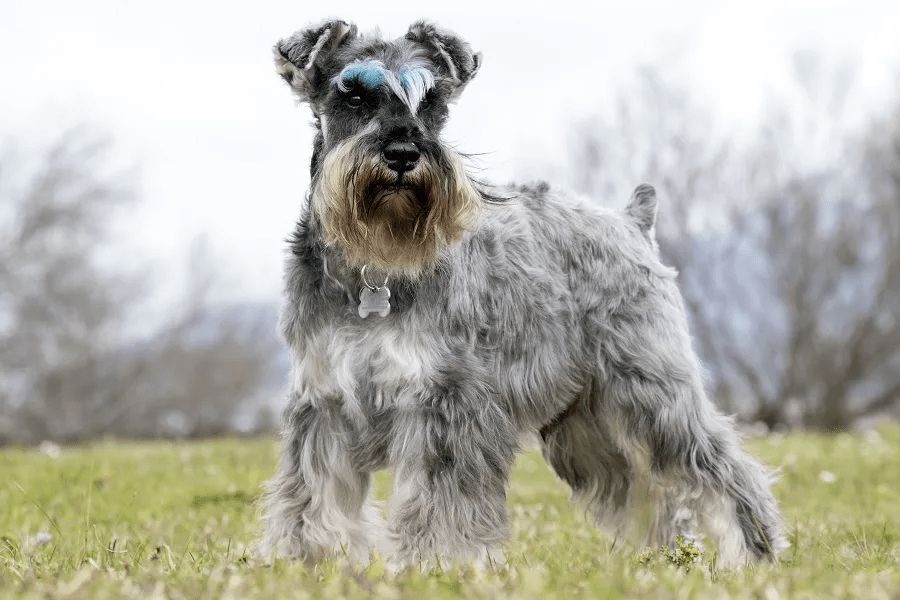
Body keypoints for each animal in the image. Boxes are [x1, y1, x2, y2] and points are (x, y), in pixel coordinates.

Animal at [256, 18, 784, 568]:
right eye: (354, 95)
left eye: (432, 102)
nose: (403, 153)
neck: (373, 268)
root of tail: (632, 220)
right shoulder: (323, 401)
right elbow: (311, 492)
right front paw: (306, 560)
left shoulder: (450, 400)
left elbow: (443, 495)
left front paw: (439, 564)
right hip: (584, 426)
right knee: (647, 491)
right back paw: (661, 559)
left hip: (653, 392)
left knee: (719, 468)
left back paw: (753, 554)